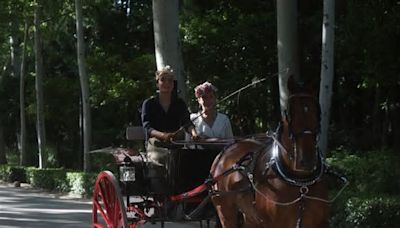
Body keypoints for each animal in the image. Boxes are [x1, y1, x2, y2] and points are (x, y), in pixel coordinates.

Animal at [211, 79, 330, 228]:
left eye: (318, 112)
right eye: (289, 113)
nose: (306, 161)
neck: (300, 183)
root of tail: (223, 154)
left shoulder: (320, 223)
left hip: (250, 217)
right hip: (226, 212)